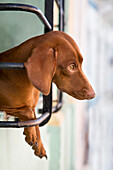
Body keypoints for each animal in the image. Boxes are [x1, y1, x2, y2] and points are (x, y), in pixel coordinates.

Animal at [0, 30, 95, 158]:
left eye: (80, 63)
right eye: (71, 66)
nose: (92, 94)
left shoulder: (32, 107)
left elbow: (34, 119)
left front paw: (38, 144)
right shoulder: (7, 107)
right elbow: (28, 113)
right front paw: (32, 135)